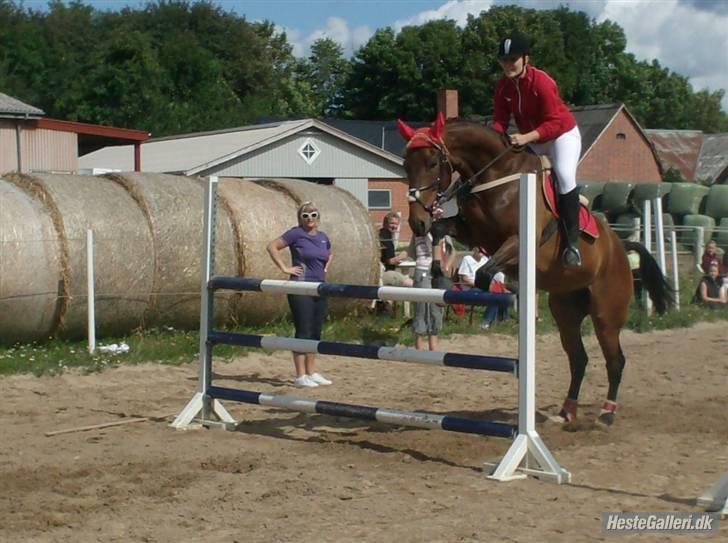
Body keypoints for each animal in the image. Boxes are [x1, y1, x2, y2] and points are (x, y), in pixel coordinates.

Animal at [396, 115, 672, 428]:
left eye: (432, 163)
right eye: (406, 164)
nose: (416, 222)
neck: (495, 177)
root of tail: (621, 248)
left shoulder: (516, 241)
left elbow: (484, 273)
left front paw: (490, 293)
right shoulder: (472, 232)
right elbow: (441, 230)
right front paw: (436, 270)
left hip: (606, 314)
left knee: (615, 360)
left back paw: (606, 413)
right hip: (566, 312)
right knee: (578, 359)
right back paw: (566, 412)